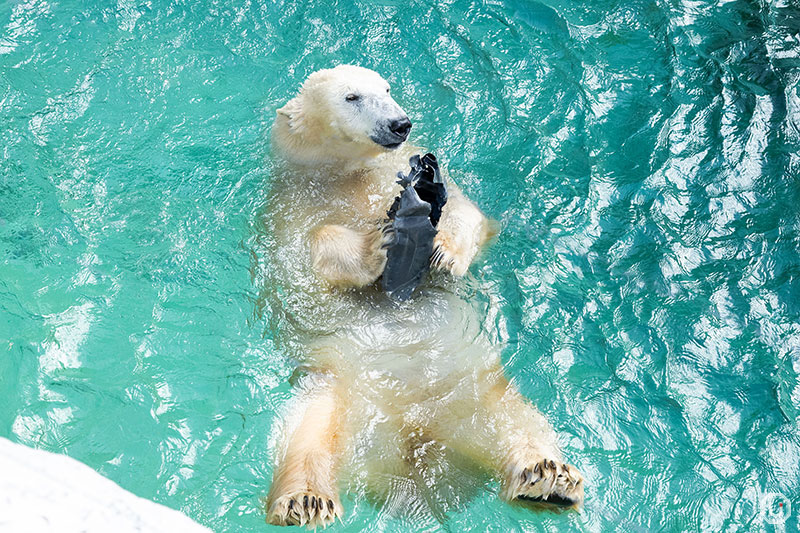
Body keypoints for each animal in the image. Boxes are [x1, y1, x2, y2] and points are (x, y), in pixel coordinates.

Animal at [264, 64, 588, 524]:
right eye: (351, 97)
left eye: (386, 87)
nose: (399, 123)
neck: (345, 174)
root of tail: (415, 446)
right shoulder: (287, 209)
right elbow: (303, 260)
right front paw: (377, 244)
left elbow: (470, 215)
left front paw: (442, 251)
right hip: (336, 388)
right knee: (307, 434)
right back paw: (305, 500)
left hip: (475, 386)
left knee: (517, 422)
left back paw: (548, 478)